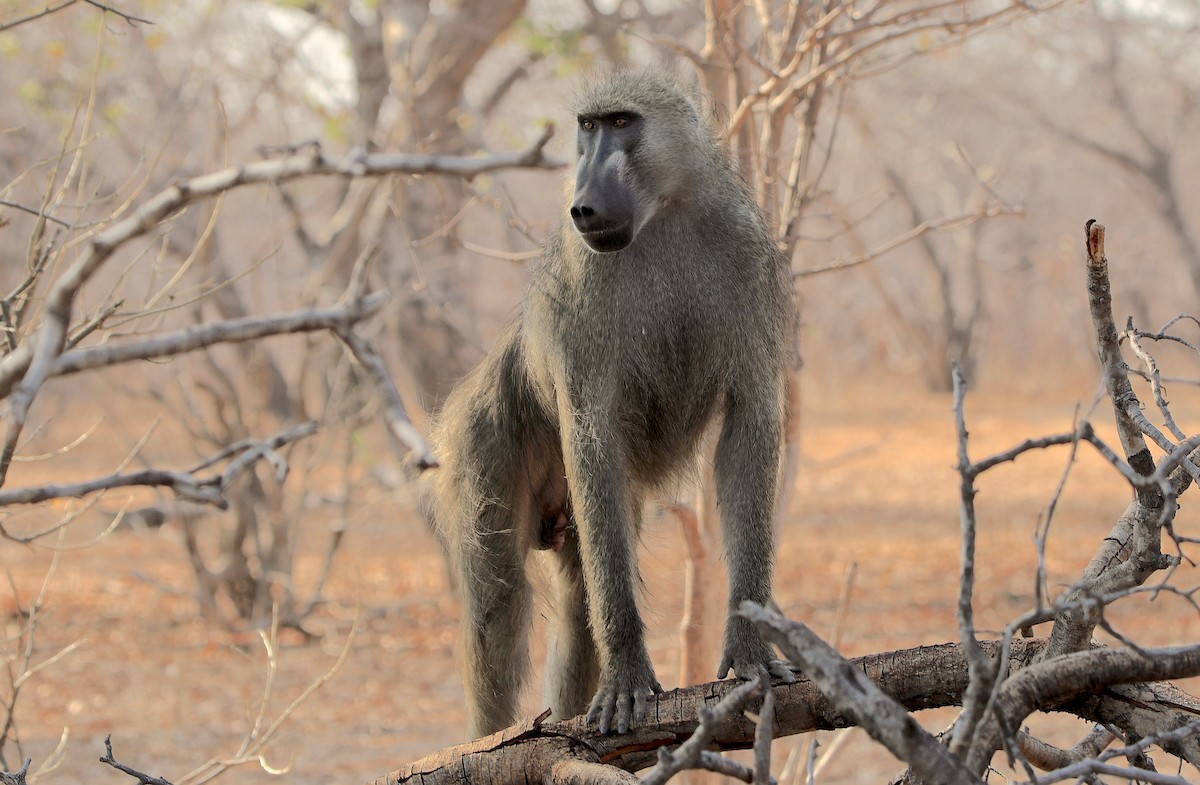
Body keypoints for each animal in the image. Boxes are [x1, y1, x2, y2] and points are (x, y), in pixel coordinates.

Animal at [429, 71, 796, 739]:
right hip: (481, 439)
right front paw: (627, 671)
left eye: (622, 123)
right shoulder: (580, 294)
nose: (584, 204)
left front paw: (750, 644)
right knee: (499, 604)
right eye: (587, 127)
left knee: (577, 608)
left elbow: (748, 427)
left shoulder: (749, 261)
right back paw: (491, 739)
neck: (666, 214)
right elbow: (592, 436)